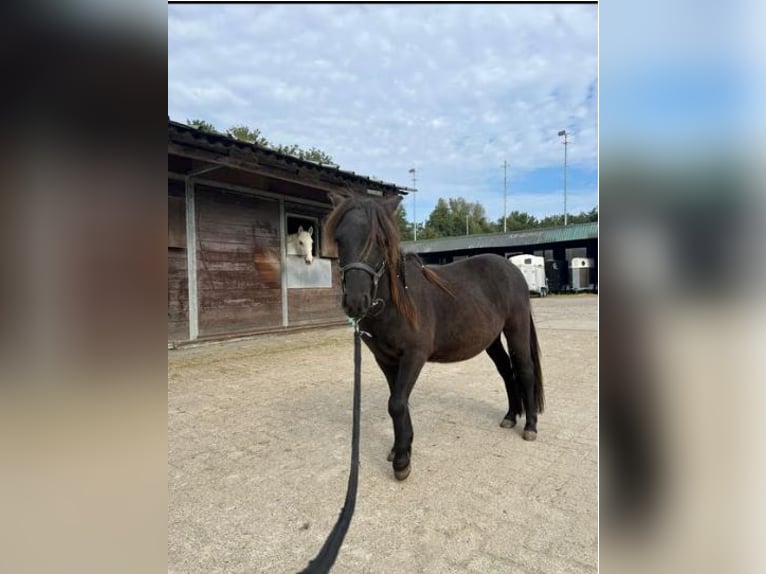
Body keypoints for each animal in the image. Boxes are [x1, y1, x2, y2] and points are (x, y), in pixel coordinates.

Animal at [326, 192, 544, 482]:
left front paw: (402, 462)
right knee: (507, 371)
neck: (399, 302)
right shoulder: (385, 359)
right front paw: (400, 449)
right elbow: (399, 401)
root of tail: (511, 268)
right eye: (340, 238)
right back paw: (510, 416)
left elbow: (396, 404)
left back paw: (530, 426)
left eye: (382, 240)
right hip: (491, 339)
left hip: (516, 329)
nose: (355, 302)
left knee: (525, 370)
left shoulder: (414, 356)